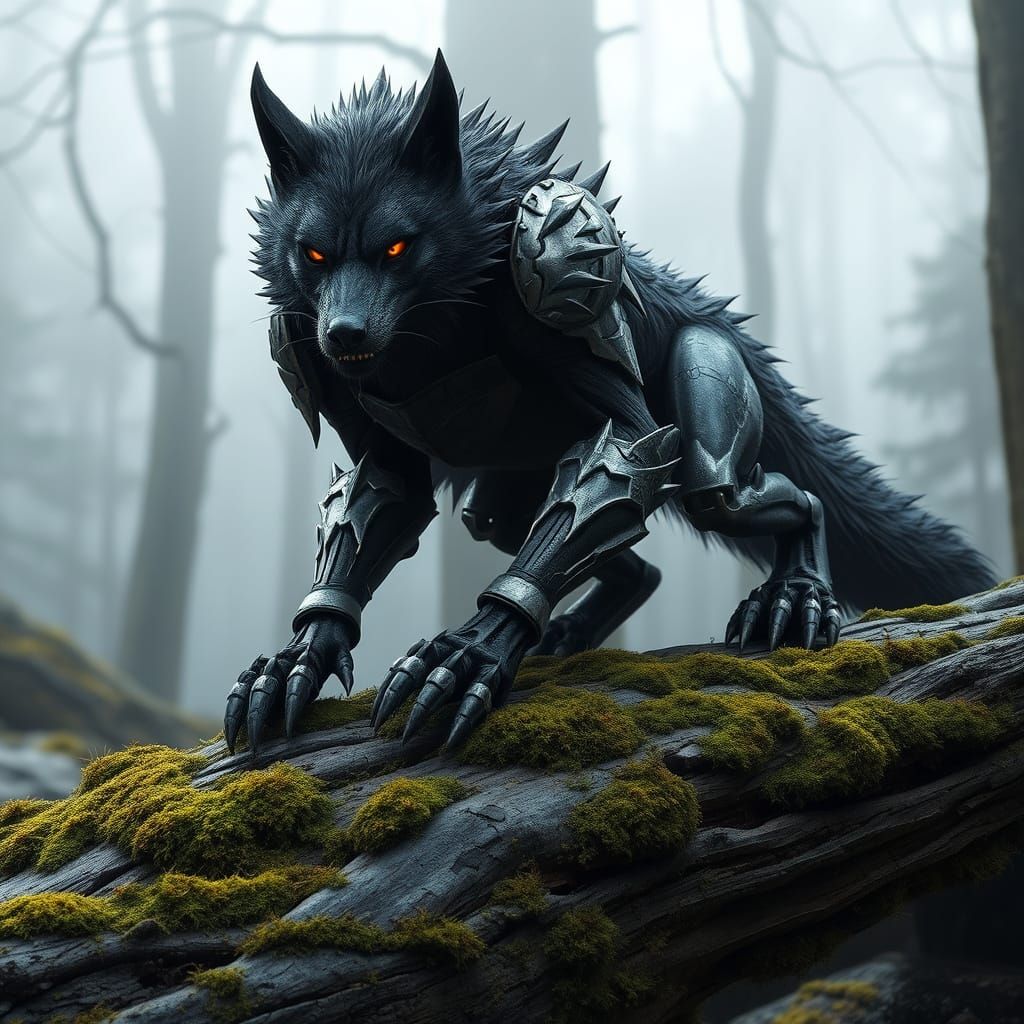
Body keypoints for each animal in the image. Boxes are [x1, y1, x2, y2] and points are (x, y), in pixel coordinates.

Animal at [223, 50, 994, 754]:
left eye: (397, 247)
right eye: (313, 255)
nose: (344, 334)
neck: (433, 327)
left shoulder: (549, 279)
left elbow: (622, 444)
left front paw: (470, 652)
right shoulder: (318, 358)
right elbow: (383, 495)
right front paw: (301, 655)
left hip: (709, 380)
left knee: (749, 494)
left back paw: (795, 592)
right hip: (506, 493)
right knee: (574, 544)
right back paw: (572, 630)